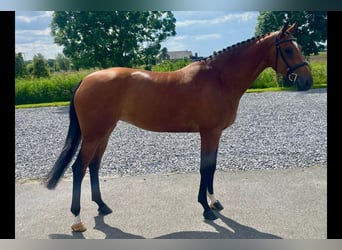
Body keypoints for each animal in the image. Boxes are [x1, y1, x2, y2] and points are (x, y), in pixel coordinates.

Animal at [44, 23, 312, 232]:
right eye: (288, 49)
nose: (307, 81)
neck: (219, 78)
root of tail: (86, 79)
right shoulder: (209, 133)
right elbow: (205, 168)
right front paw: (206, 209)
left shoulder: (215, 134)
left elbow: (212, 167)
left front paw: (214, 202)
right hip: (93, 134)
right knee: (79, 168)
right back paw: (77, 220)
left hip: (105, 132)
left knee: (94, 166)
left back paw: (102, 206)